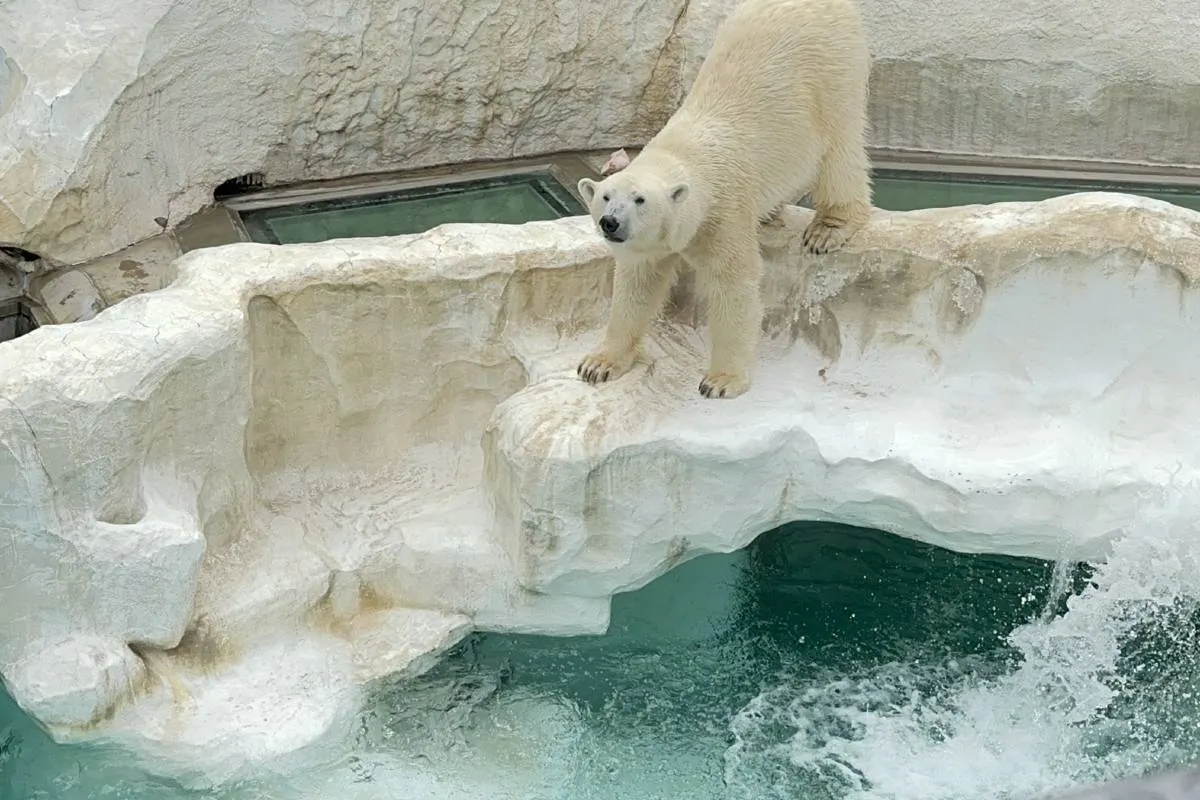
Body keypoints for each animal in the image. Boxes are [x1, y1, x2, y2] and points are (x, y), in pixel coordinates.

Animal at [576, 0, 873, 399]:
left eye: (640, 200)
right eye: (606, 196)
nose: (611, 222)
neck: (684, 154)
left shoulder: (723, 211)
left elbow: (733, 284)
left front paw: (720, 381)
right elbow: (637, 285)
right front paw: (598, 364)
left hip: (833, 71)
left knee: (839, 152)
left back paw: (829, 227)